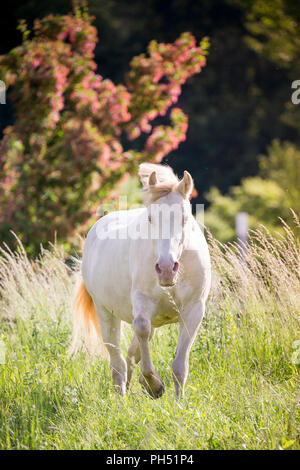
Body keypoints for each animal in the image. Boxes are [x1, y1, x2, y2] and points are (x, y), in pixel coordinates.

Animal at [70, 163, 211, 398]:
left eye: (185, 218)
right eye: (151, 218)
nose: (166, 269)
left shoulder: (193, 311)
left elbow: (179, 366)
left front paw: (178, 401)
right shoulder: (142, 304)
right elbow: (142, 330)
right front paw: (154, 385)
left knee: (131, 353)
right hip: (105, 313)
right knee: (118, 362)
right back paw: (122, 398)